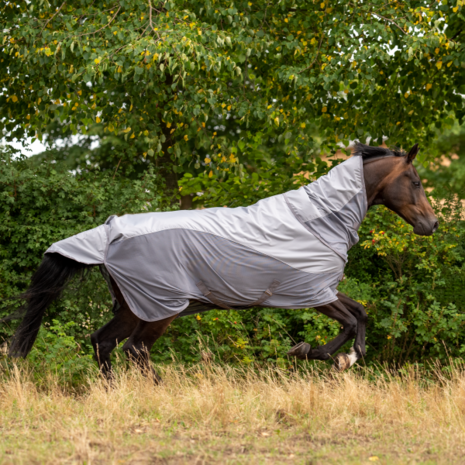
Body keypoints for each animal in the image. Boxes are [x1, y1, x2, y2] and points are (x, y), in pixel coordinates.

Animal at [5, 143, 436, 378]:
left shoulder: (322, 290)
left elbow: (360, 314)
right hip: (159, 309)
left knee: (104, 343)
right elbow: (348, 322)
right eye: (415, 182)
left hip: (135, 306)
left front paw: (350, 357)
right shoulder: (314, 293)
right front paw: (318, 354)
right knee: (133, 349)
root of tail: (109, 235)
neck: (315, 219)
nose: (431, 224)